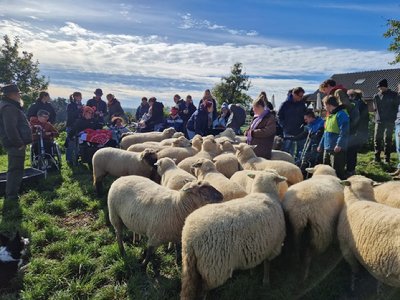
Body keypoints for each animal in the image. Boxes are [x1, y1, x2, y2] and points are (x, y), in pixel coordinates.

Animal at [181, 170, 288, 298]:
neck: (264, 193)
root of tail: (190, 236)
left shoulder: (257, 245)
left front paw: (252, 272)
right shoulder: (272, 246)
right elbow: (267, 265)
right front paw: (266, 282)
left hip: (190, 264)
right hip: (214, 267)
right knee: (203, 289)